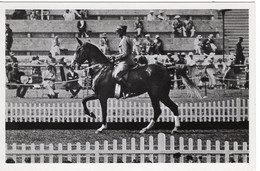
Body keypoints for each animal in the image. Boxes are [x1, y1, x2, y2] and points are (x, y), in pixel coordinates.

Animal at [71, 37, 201, 134]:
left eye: (78, 50)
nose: (72, 65)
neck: (100, 68)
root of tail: (166, 68)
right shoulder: (97, 94)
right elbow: (84, 100)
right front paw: (91, 114)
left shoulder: (102, 96)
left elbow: (104, 112)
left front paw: (101, 127)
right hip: (153, 95)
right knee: (157, 111)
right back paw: (145, 129)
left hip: (161, 94)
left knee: (173, 107)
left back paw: (175, 128)